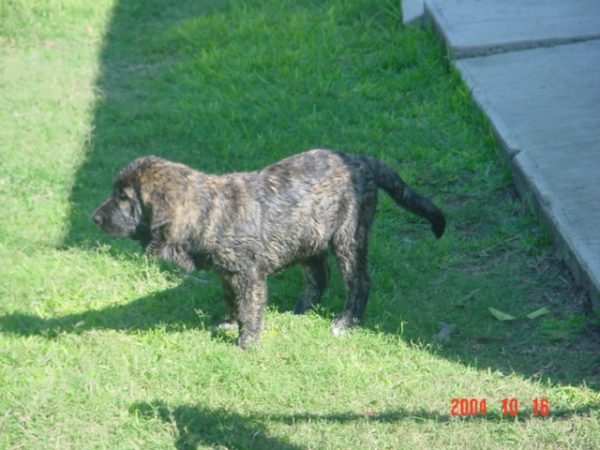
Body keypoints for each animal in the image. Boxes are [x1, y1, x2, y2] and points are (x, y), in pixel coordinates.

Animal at [91, 149, 442, 350]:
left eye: (123, 198)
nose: (95, 218)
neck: (207, 210)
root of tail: (361, 160)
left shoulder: (249, 275)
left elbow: (250, 308)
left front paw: (246, 343)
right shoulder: (228, 273)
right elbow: (233, 301)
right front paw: (231, 324)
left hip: (347, 238)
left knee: (358, 281)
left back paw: (347, 322)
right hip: (306, 236)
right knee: (319, 275)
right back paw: (301, 311)